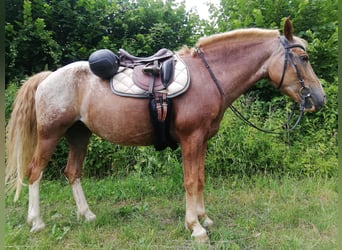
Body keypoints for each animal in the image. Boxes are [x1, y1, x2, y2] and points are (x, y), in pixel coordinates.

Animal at [6, 18, 326, 241]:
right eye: (304, 58)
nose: (319, 99)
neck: (209, 77)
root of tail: (49, 77)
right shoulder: (191, 139)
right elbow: (190, 181)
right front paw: (195, 227)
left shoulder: (202, 141)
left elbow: (200, 178)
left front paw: (204, 219)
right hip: (50, 134)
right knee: (34, 172)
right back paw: (37, 222)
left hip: (78, 135)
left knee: (72, 172)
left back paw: (87, 215)